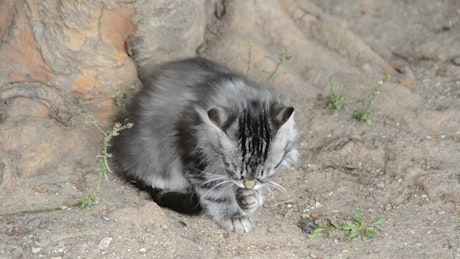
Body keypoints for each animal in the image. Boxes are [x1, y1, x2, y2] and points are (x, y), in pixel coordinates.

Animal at [112, 58, 298, 235]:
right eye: (233, 167)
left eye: (269, 169)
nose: (249, 185)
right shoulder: (197, 160)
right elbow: (217, 193)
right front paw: (234, 216)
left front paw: (249, 197)